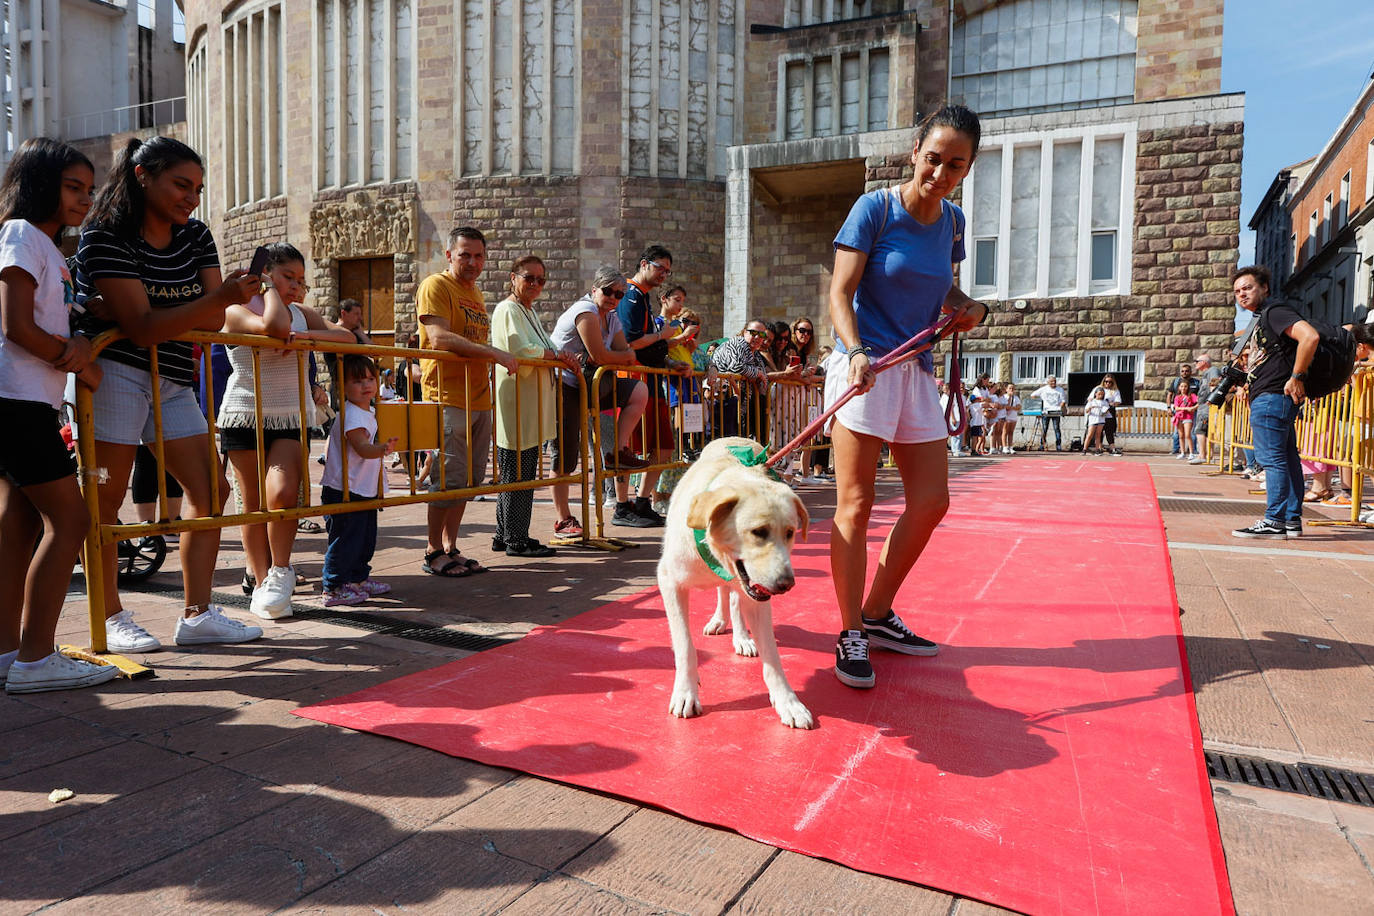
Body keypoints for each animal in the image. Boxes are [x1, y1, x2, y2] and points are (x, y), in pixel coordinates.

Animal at [656, 436, 813, 730]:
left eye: (790, 533)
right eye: (758, 532)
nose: (787, 584)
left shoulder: (758, 597)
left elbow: (772, 656)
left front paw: (788, 702)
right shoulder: (670, 582)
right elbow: (684, 646)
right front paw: (685, 692)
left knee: (733, 598)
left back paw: (741, 636)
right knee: (725, 593)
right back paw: (719, 620)